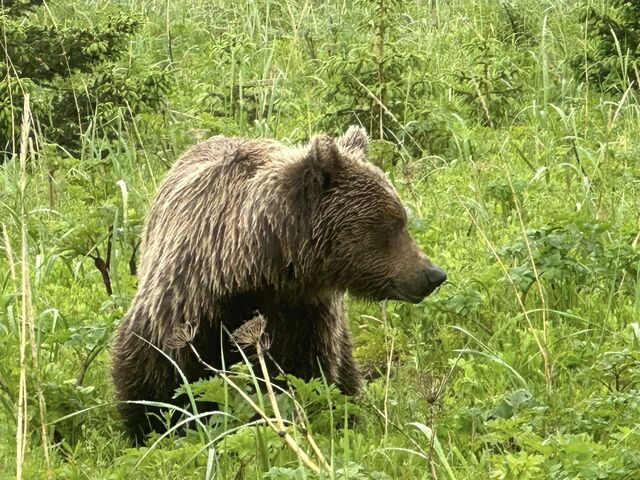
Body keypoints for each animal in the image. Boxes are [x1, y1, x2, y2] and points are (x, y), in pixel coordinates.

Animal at [110, 125, 448, 440]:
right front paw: (154, 425)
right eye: (393, 224)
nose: (433, 274)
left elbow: (304, 375)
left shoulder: (302, 314)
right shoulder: (185, 302)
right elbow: (155, 372)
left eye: (400, 218)